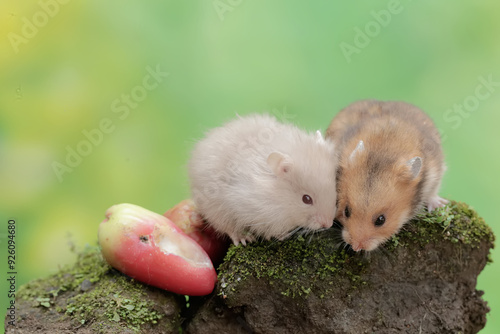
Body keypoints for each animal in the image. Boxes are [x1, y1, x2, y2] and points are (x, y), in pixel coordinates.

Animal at [188, 114, 340, 245]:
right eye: (306, 199)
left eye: (335, 190)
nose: (328, 224)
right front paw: (282, 236)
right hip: (215, 210)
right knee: (228, 228)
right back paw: (244, 239)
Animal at [326, 100, 448, 252]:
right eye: (346, 211)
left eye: (381, 220)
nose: (355, 247)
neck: (384, 150)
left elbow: (432, 193)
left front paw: (439, 206)